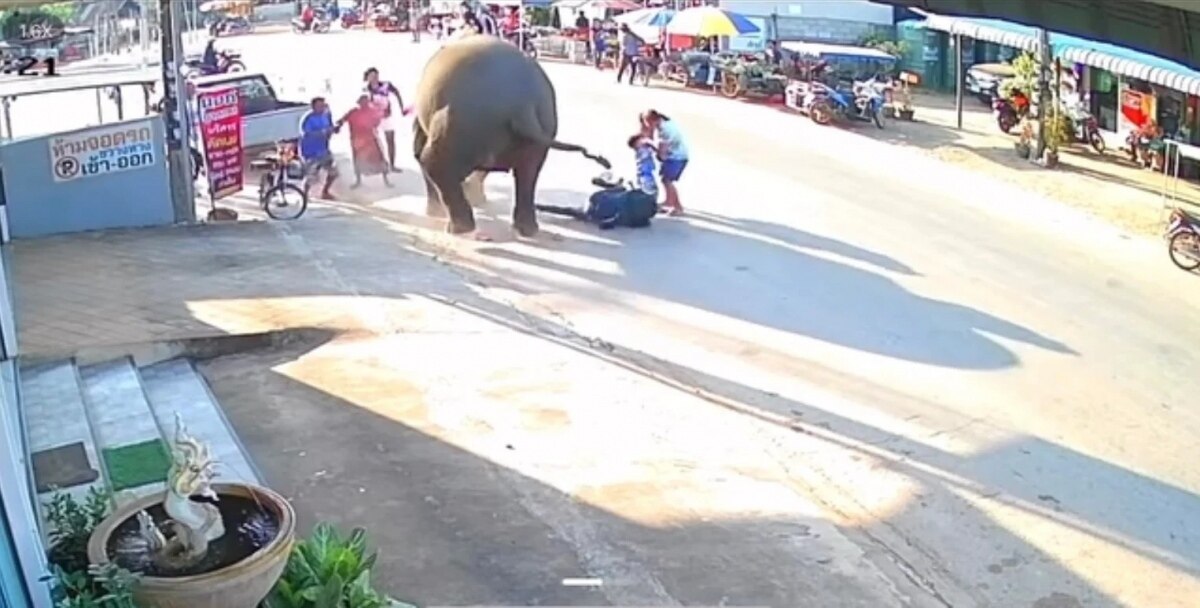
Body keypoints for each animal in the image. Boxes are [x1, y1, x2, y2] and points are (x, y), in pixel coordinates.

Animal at [410, 32, 609, 237]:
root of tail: (522, 104)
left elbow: (419, 149)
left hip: (459, 121)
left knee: (432, 162)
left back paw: (457, 229)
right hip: (543, 125)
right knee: (529, 173)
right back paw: (527, 230)